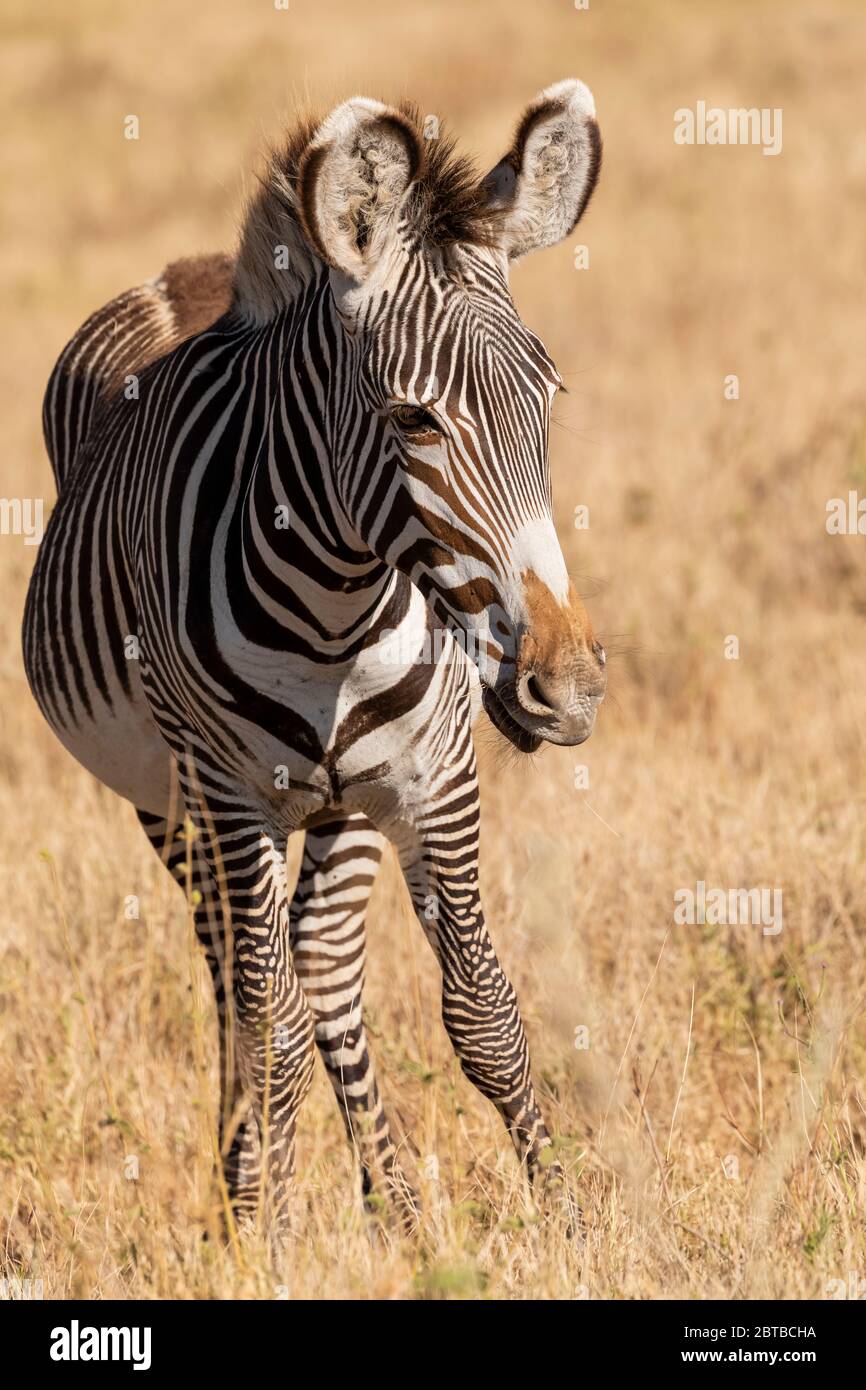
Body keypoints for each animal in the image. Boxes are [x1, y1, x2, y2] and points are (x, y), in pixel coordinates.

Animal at [23, 80, 606, 1229]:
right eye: (413, 420)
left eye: (548, 397)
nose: (560, 687)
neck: (333, 609)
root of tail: (196, 269)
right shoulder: (229, 794)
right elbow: (271, 1027)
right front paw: (267, 1235)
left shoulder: (433, 778)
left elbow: (483, 1014)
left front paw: (569, 1219)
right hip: (171, 804)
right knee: (240, 983)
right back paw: (250, 1187)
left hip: (347, 805)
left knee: (324, 968)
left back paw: (397, 1208)